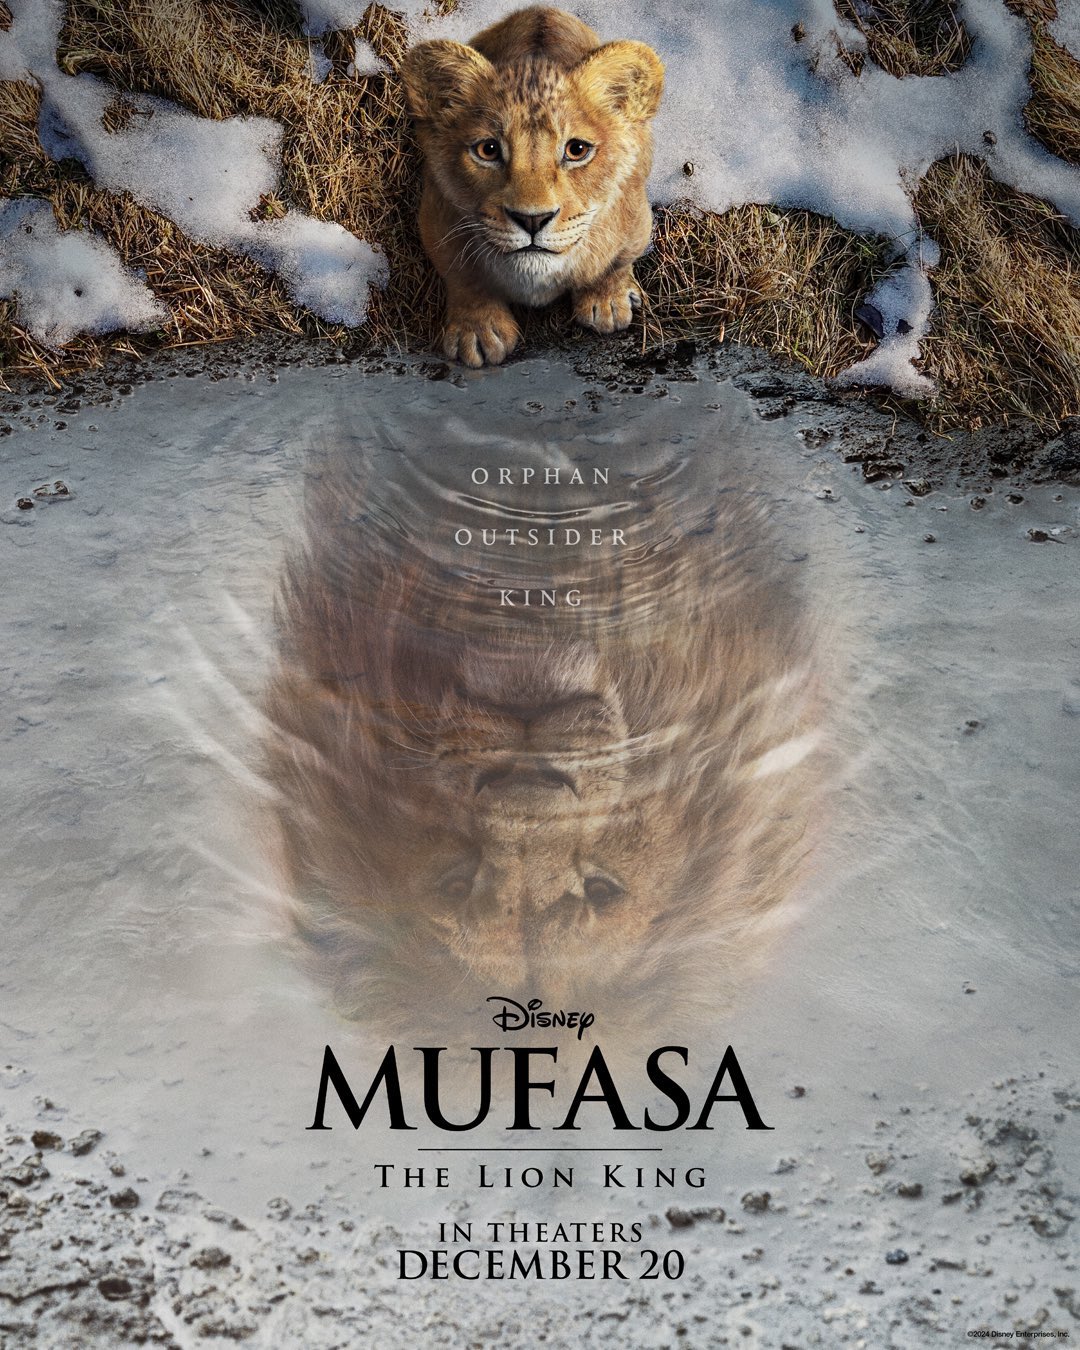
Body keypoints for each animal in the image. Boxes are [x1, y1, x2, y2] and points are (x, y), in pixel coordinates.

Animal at [400, 6, 664, 367]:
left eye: (577, 150)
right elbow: (463, 276)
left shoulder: (636, 219)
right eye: (488, 150)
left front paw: (607, 302)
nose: (532, 219)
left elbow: (615, 262)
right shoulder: (436, 218)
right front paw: (477, 331)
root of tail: (542, 9)